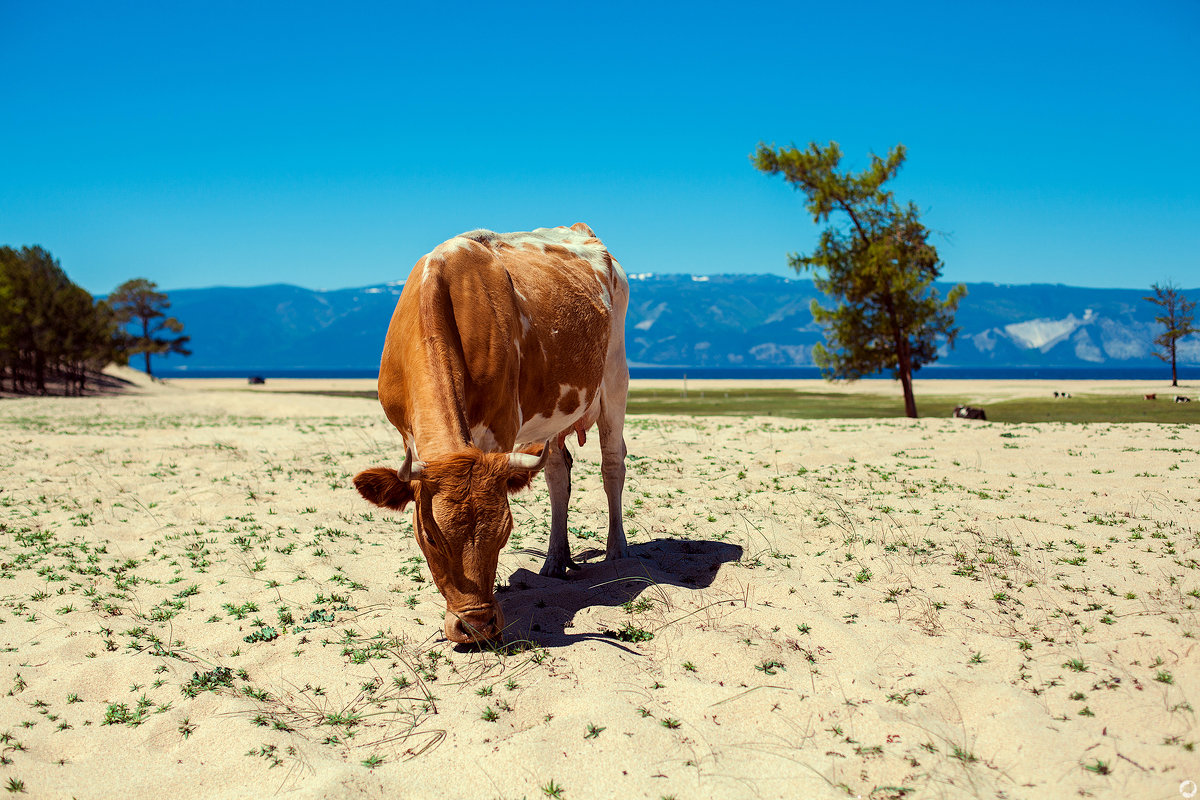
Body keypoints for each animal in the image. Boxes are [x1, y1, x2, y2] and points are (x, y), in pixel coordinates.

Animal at [350, 224, 633, 642]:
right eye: (430, 537)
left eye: (505, 530)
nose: (477, 626)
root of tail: (582, 230)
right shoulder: (408, 434)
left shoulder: (500, 429)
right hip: (555, 415)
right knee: (556, 474)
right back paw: (555, 561)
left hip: (614, 379)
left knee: (612, 464)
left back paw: (617, 551)